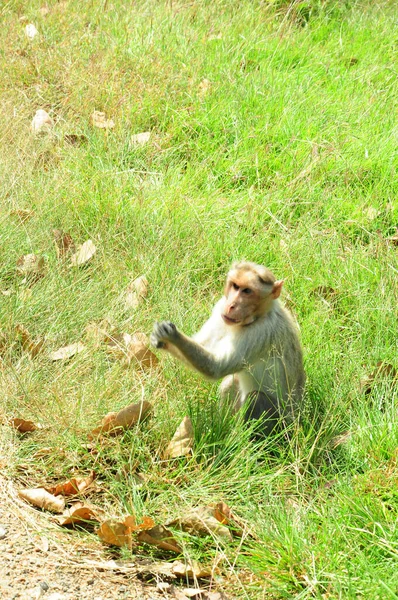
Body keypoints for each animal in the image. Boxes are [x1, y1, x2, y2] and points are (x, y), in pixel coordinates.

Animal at [151, 260, 306, 434]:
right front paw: (161, 340)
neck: (259, 315)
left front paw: (172, 336)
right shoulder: (220, 308)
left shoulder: (261, 331)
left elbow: (216, 367)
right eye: (235, 286)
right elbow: (203, 344)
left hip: (283, 423)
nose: (231, 305)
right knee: (230, 383)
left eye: (247, 291)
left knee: (257, 398)